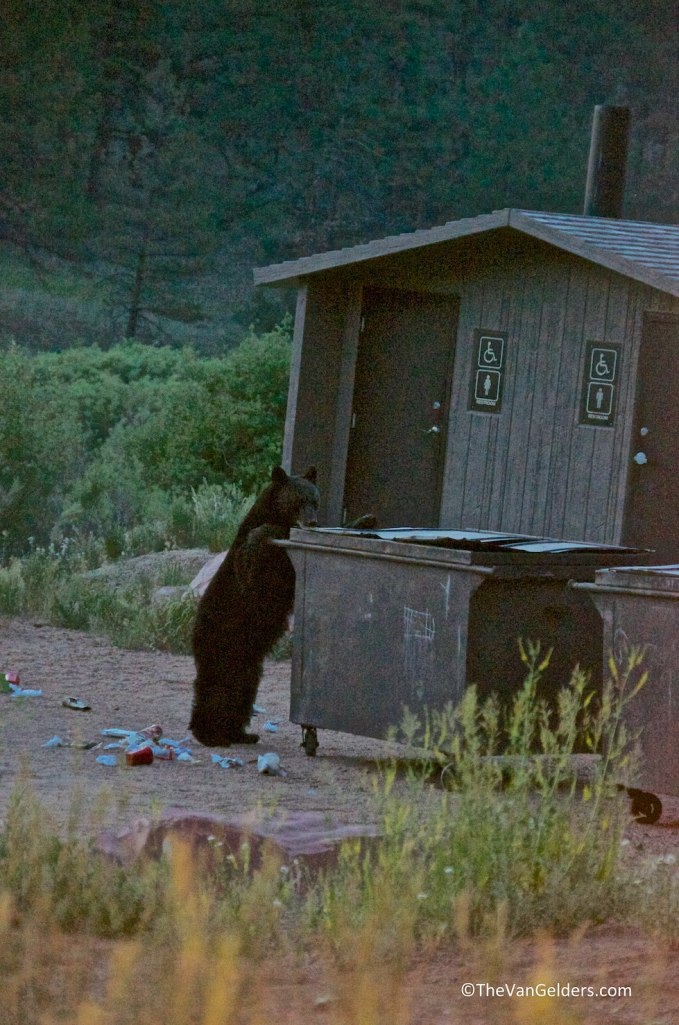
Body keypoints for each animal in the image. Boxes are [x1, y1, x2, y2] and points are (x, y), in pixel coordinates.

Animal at [189, 465, 320, 746]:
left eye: (314, 500)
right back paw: (209, 734)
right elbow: (260, 550)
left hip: (248, 660)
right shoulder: (255, 564)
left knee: (243, 691)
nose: (312, 522)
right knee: (216, 686)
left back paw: (240, 732)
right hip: (221, 639)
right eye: (299, 501)